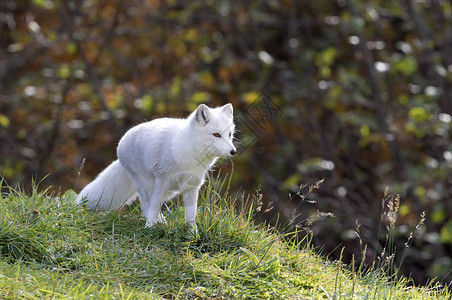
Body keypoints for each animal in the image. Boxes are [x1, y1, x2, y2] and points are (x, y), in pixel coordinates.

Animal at [76, 103, 237, 232]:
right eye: (216, 134)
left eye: (229, 135)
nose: (233, 151)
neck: (191, 153)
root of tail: (121, 143)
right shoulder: (162, 180)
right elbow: (153, 207)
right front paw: (149, 228)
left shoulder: (192, 187)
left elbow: (191, 215)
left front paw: (192, 234)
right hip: (147, 185)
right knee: (146, 204)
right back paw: (156, 224)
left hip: (168, 191)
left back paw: (163, 223)